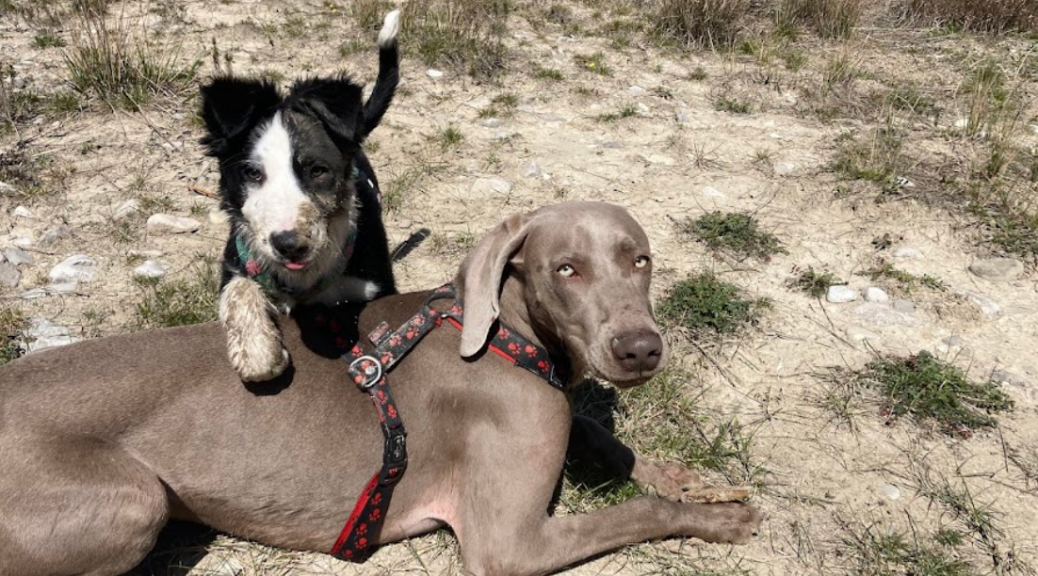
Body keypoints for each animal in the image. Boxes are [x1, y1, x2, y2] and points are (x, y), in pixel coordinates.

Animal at [0, 201, 763, 576]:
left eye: (642, 260)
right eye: (565, 268)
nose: (639, 348)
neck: (510, 340)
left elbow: (601, 433)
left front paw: (693, 480)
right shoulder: (507, 545)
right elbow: (637, 513)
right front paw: (719, 520)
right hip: (136, 500)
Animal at [198, 9, 400, 384]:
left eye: (318, 170)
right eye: (252, 173)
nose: (290, 245)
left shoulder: (376, 286)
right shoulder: (237, 262)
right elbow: (238, 290)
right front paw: (259, 354)